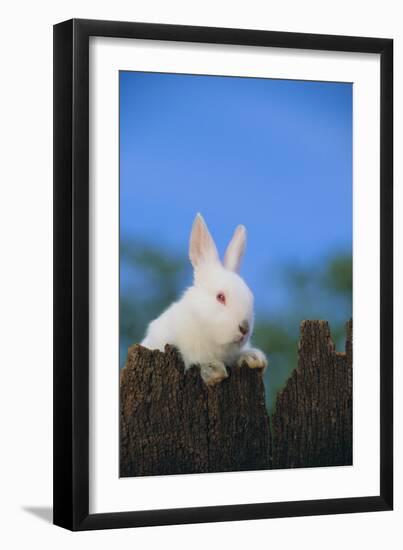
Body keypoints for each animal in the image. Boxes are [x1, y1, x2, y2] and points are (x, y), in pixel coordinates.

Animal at [142, 213, 268, 386]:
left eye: (250, 298)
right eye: (220, 297)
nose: (244, 328)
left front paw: (254, 359)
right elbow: (195, 359)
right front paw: (215, 370)